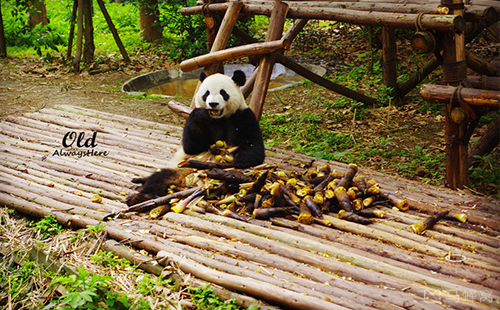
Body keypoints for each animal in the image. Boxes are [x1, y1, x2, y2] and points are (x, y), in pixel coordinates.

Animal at [126, 71, 266, 206]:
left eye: (223, 92)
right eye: (206, 93)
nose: (213, 104)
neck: (219, 119)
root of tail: (190, 182)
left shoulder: (243, 116)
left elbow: (253, 143)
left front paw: (240, 162)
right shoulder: (200, 123)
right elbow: (192, 146)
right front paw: (200, 114)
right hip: (180, 168)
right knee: (160, 178)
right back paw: (140, 197)